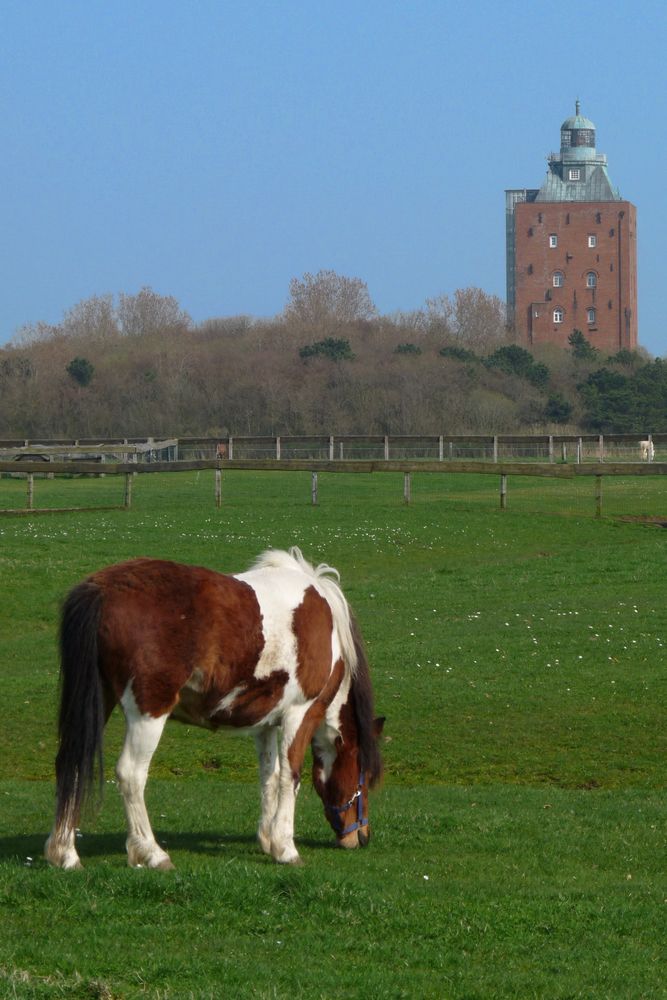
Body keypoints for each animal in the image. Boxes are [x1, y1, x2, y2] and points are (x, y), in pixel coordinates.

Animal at [44, 548, 384, 868]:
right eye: (364, 774)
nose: (362, 837)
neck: (327, 625)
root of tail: (102, 589)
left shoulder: (265, 725)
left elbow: (270, 776)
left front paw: (267, 839)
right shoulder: (300, 714)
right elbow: (291, 776)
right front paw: (285, 848)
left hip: (98, 700)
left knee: (71, 763)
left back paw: (65, 853)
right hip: (149, 712)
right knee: (131, 774)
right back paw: (152, 853)